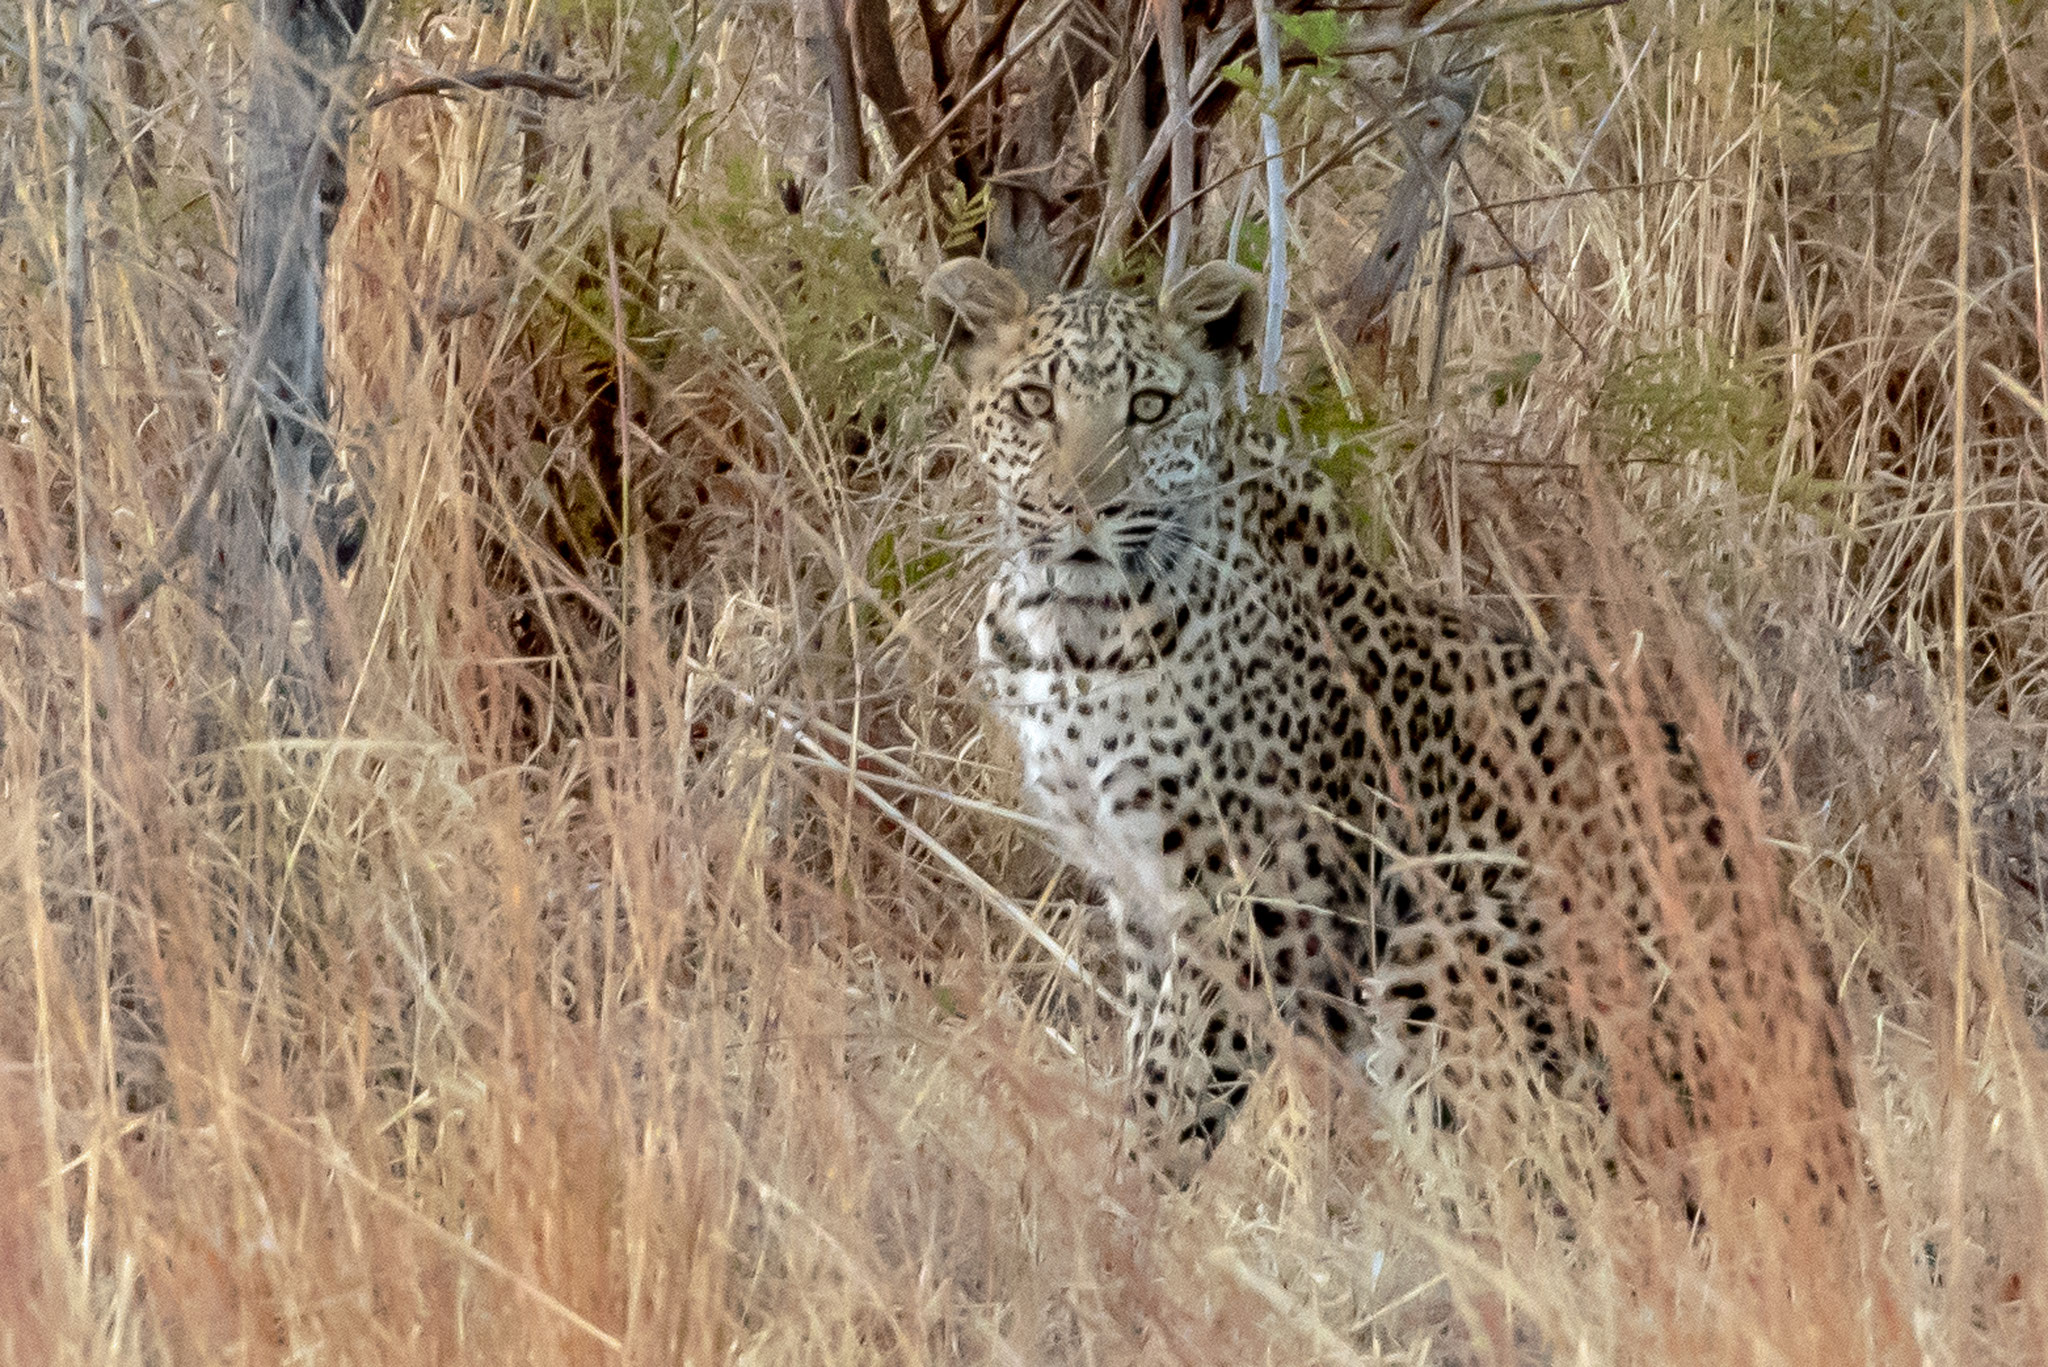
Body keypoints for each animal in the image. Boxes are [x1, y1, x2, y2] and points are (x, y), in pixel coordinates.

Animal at [929, 259, 1875, 1229]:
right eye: (1035, 402)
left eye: (1149, 407)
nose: (1086, 507)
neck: (1069, 634)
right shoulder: (1139, 894)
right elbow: (1148, 1052)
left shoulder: (1253, 901)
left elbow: (1176, 1074)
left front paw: (1121, 1205)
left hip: (1449, 960)